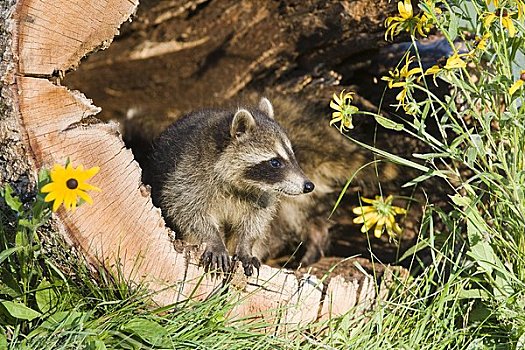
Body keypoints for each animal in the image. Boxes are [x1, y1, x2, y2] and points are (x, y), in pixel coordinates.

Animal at [147, 98, 312, 276]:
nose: (308, 186)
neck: (241, 185)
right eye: (275, 162)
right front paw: (213, 239)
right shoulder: (188, 175)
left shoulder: (262, 195)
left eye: (292, 156)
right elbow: (187, 210)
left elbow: (255, 222)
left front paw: (245, 246)